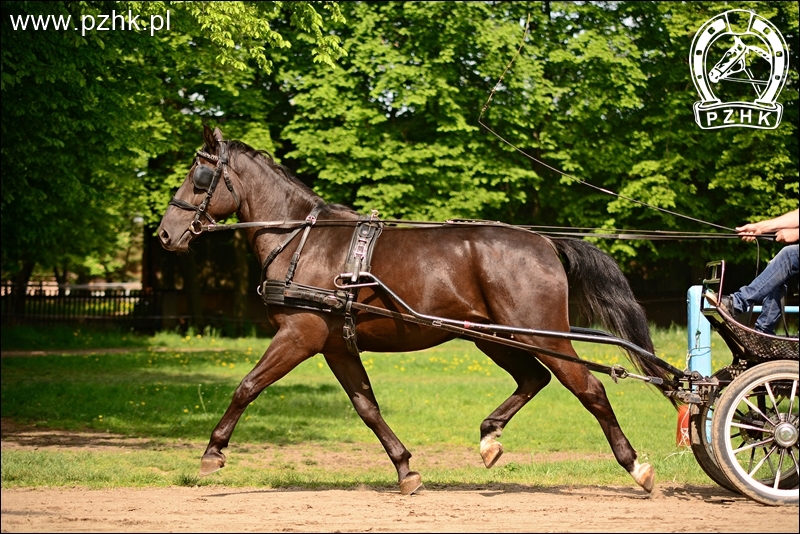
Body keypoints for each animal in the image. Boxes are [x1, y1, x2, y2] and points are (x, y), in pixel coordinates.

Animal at [158, 126, 676, 498]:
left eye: (199, 175)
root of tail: (545, 241)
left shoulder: (300, 335)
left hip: (542, 335)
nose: (165, 234)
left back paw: (637, 467)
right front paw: (406, 469)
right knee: (534, 378)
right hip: (491, 336)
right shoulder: (335, 345)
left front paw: (213, 452)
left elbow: (247, 386)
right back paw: (489, 437)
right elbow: (366, 406)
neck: (303, 239)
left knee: (590, 389)